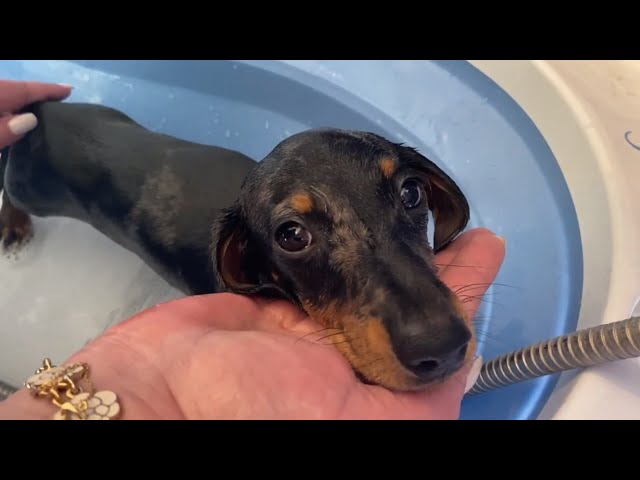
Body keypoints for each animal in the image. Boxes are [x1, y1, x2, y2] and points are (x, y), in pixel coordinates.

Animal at [0, 99, 470, 392]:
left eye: (411, 191)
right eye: (292, 235)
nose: (443, 348)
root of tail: (44, 113)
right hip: (31, 189)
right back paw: (15, 226)